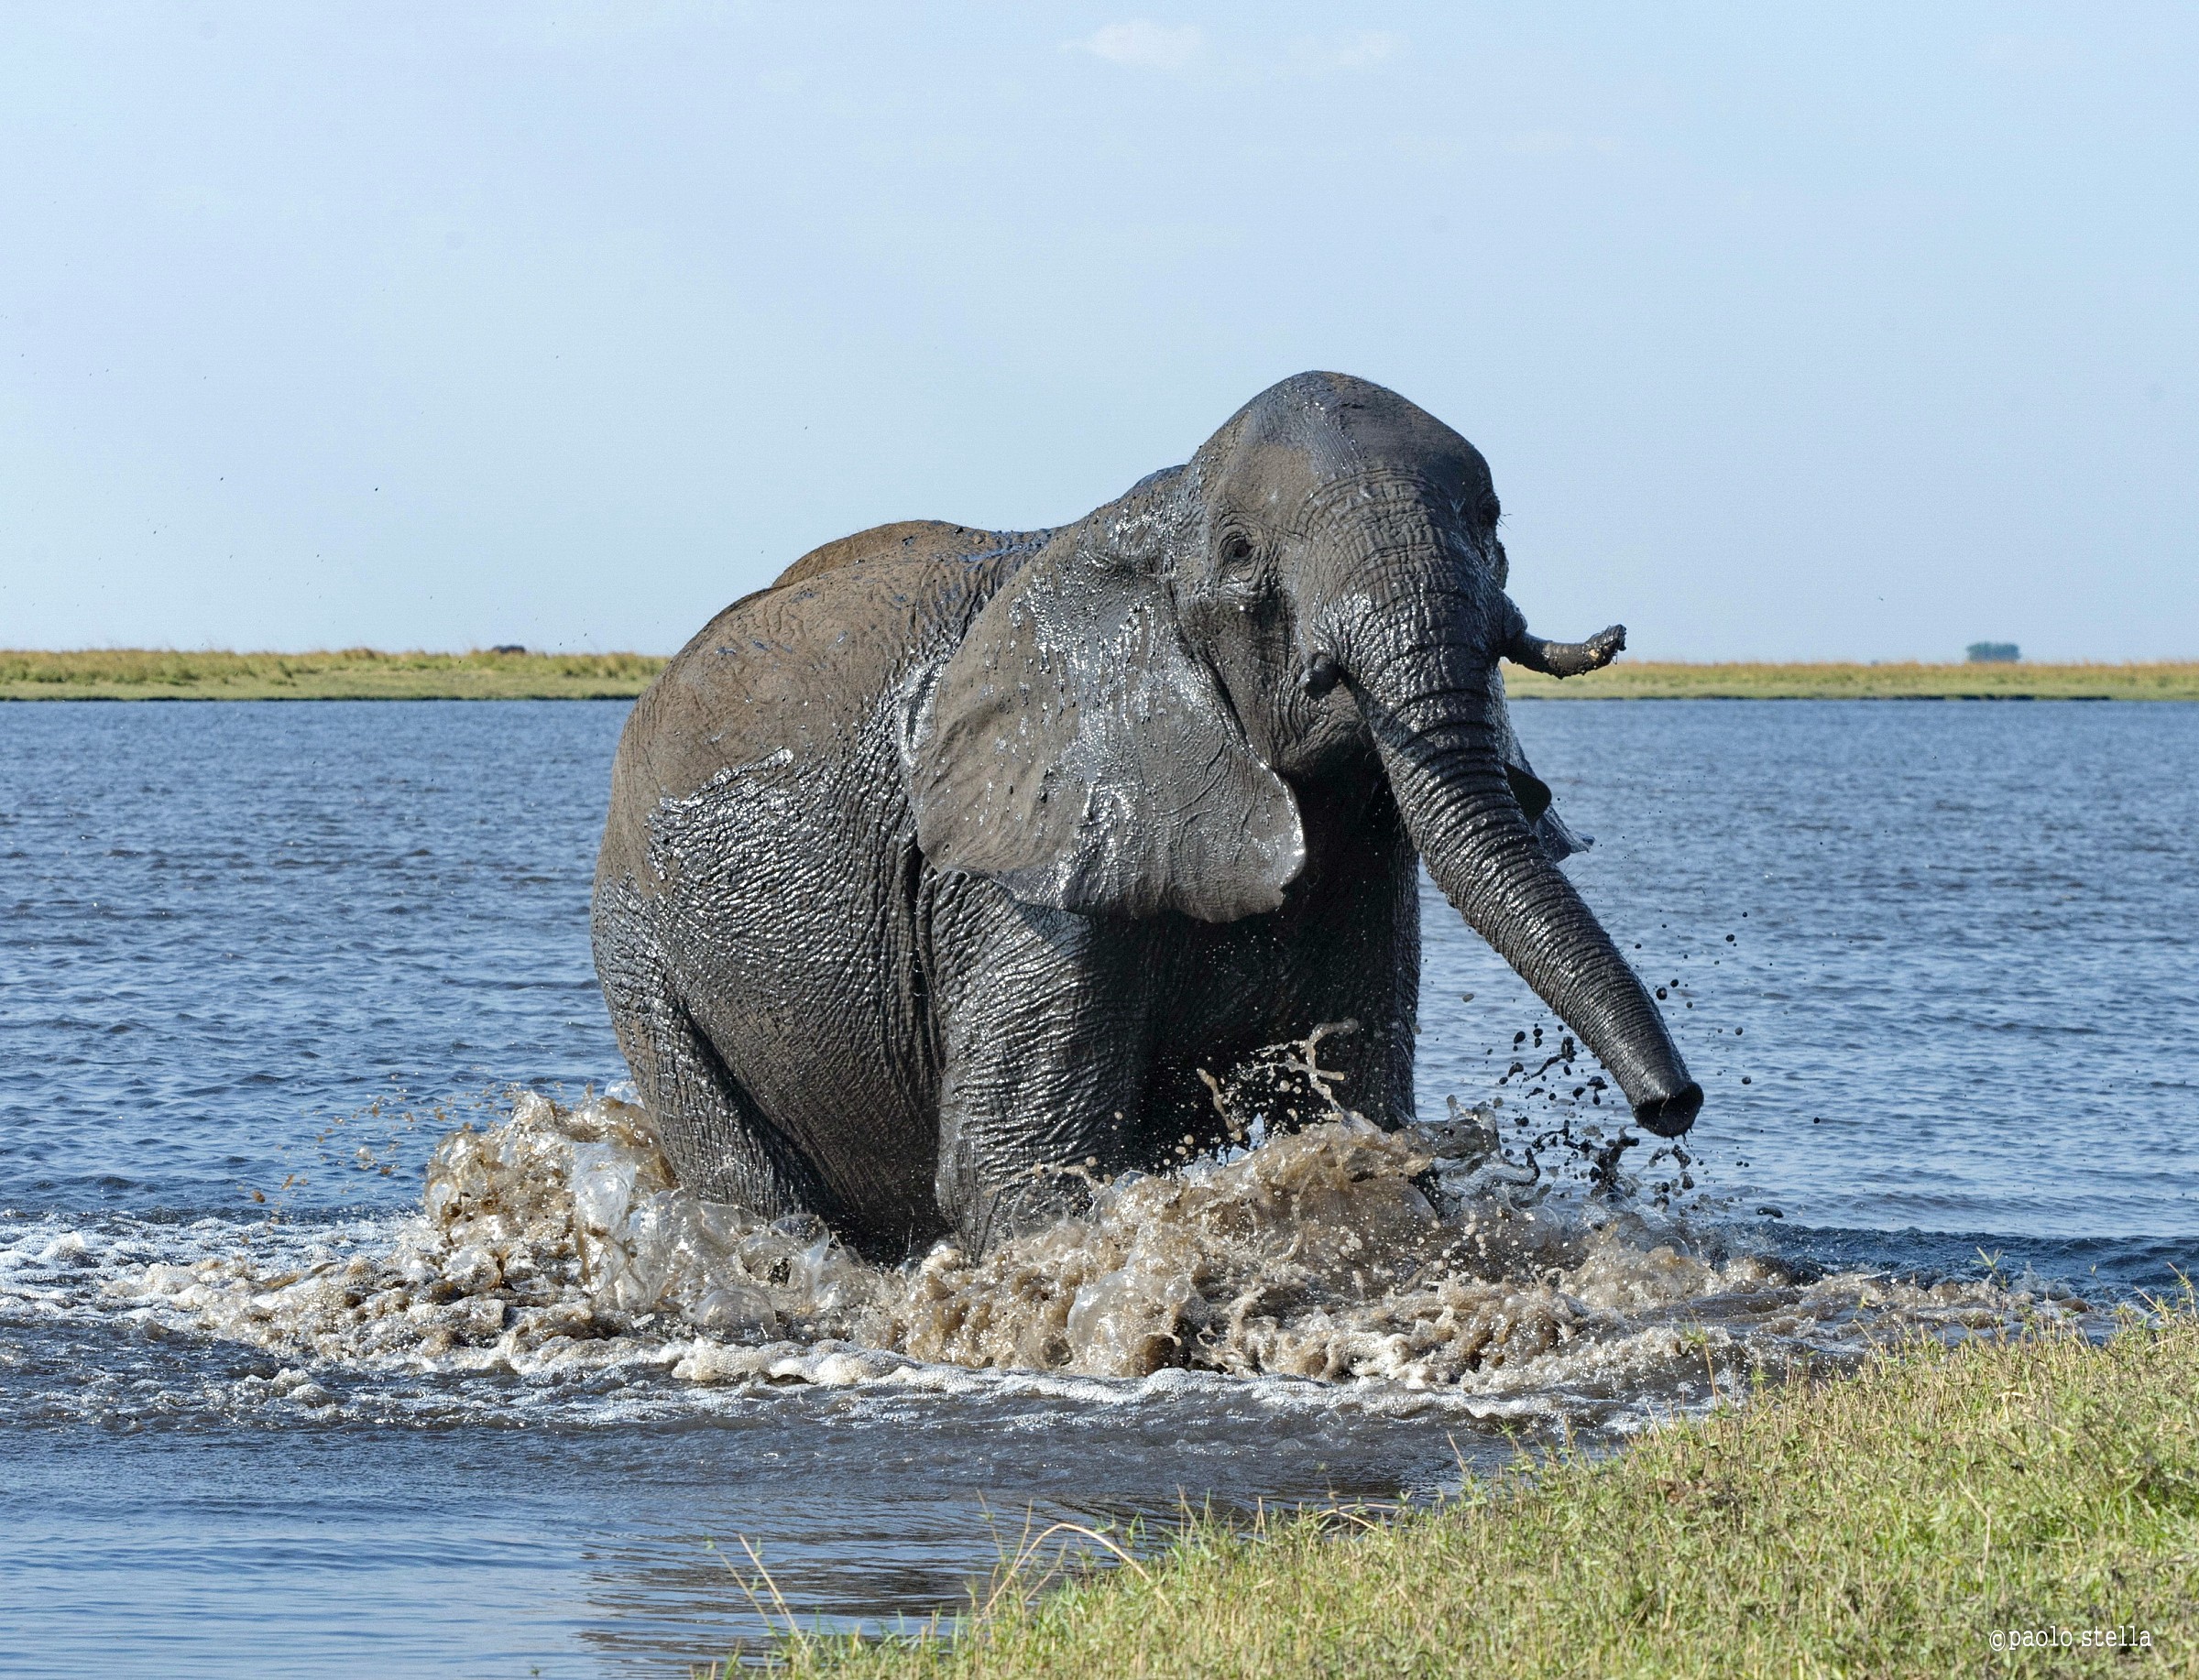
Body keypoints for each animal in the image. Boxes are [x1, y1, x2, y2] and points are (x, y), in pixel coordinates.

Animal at [592, 371, 1699, 1260]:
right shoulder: (1020, 858)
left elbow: (1354, 1110)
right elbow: (1017, 1161)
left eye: (1494, 522)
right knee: (748, 1182)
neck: (1159, 515)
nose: (1672, 1108)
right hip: (640, 951)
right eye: (1244, 558)